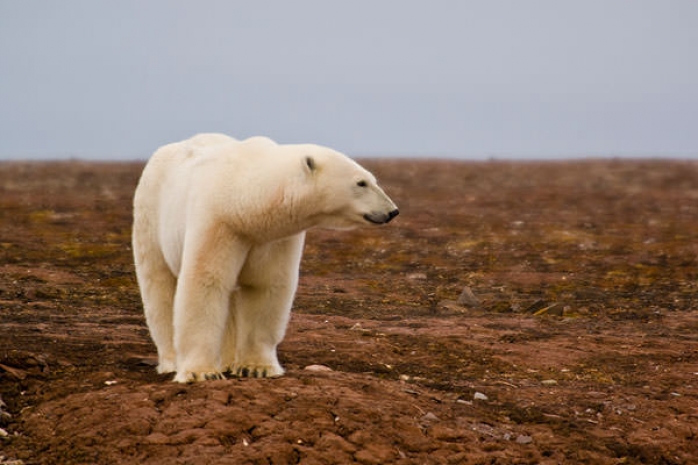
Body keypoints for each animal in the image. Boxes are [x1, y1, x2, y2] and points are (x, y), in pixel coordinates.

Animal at [132, 133, 396, 380]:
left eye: (372, 179)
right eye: (361, 182)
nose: (393, 211)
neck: (243, 201)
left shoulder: (273, 238)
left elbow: (266, 286)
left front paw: (256, 368)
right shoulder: (217, 222)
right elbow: (206, 283)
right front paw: (202, 373)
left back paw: (228, 361)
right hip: (150, 213)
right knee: (159, 286)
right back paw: (171, 362)